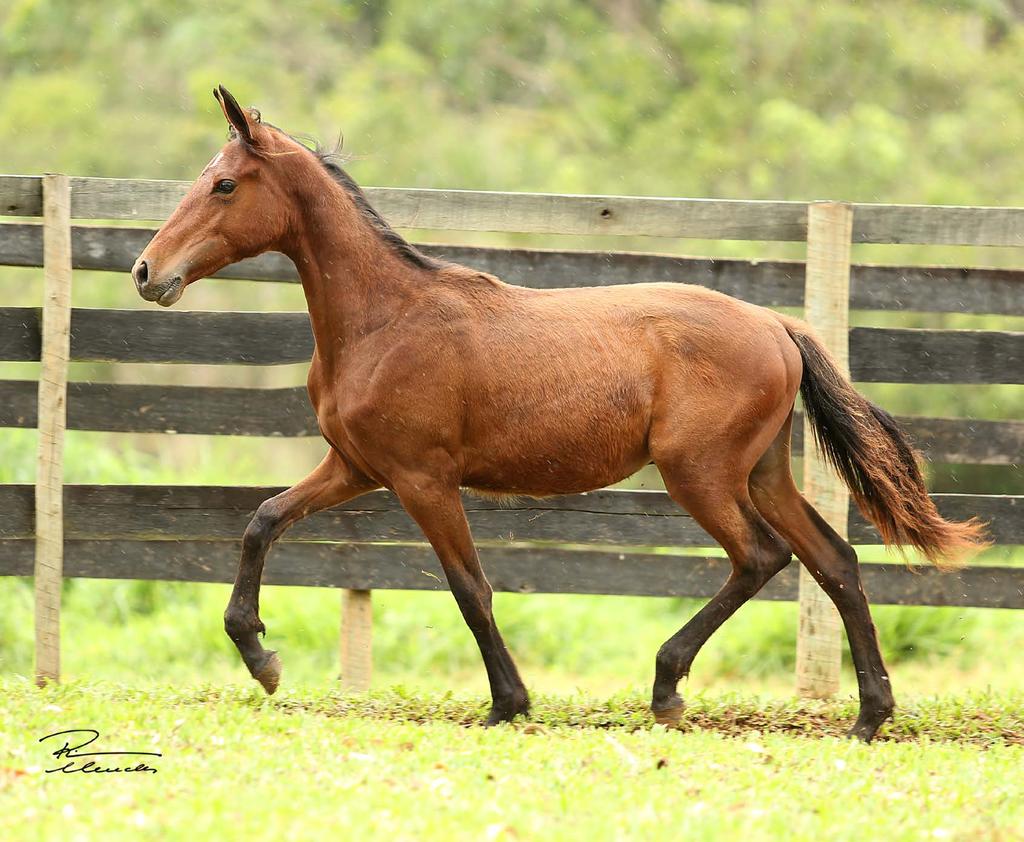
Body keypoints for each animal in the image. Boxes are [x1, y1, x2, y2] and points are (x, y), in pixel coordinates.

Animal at [130, 87, 983, 745]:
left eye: (225, 185)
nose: (146, 272)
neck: (384, 321)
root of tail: (777, 326)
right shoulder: (357, 467)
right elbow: (263, 520)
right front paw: (262, 659)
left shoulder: (422, 479)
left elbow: (469, 587)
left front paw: (508, 704)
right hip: (762, 472)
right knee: (835, 560)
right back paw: (870, 717)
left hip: (700, 473)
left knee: (760, 557)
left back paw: (668, 687)